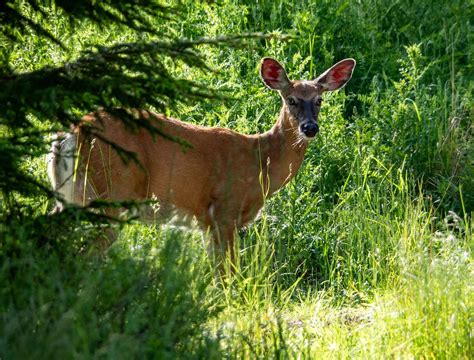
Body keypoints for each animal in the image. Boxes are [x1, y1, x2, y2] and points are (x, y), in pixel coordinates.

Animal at [47, 57, 356, 264]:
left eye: (319, 100)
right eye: (291, 99)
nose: (310, 128)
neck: (260, 162)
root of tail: (73, 132)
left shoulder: (207, 222)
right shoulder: (225, 209)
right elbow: (228, 272)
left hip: (70, 193)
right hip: (113, 192)